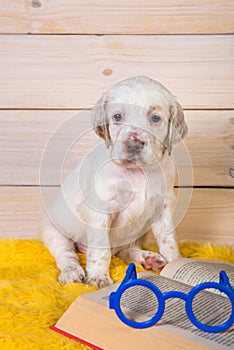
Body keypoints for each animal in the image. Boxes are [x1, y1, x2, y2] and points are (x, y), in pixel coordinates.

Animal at [39, 76, 186, 288]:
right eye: (117, 116)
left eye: (155, 118)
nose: (133, 144)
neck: (137, 172)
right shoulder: (101, 209)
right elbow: (101, 248)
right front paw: (98, 276)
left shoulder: (163, 205)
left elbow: (169, 239)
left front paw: (176, 264)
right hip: (53, 230)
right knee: (66, 253)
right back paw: (72, 272)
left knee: (124, 250)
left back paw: (148, 259)